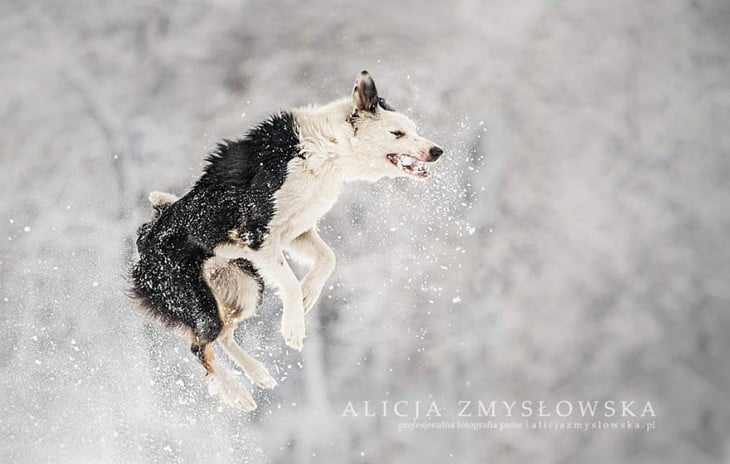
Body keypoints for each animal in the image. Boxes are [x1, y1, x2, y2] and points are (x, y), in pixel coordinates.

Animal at [129, 70, 444, 408]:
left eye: (414, 130)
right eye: (397, 133)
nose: (437, 151)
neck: (325, 149)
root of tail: (145, 241)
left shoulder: (295, 232)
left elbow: (328, 259)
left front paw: (307, 297)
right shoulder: (257, 233)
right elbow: (290, 281)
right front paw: (293, 327)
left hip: (245, 288)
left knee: (222, 335)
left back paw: (258, 374)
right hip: (197, 299)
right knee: (200, 346)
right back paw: (236, 392)